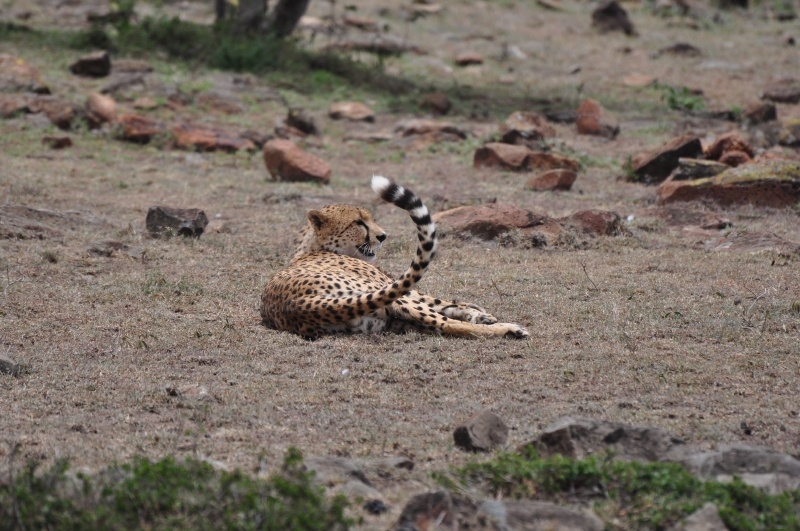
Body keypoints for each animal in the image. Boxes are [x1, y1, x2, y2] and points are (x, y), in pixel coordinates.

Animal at [260, 176, 530, 340]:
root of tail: (299, 304)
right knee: (445, 323)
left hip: (386, 318)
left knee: (436, 323)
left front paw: (479, 312)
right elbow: (439, 301)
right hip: (390, 298)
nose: (382, 236)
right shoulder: (396, 287)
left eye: (370, 218)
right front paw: (479, 313)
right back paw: (511, 329)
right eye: (358, 222)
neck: (313, 247)